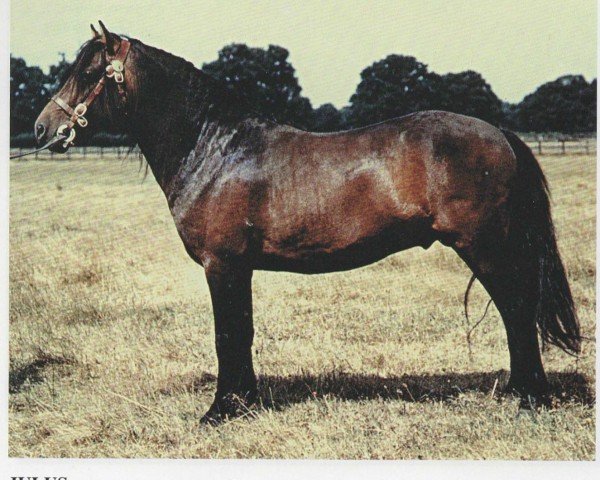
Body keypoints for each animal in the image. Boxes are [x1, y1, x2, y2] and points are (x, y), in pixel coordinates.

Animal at [34, 21, 580, 424]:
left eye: (89, 71)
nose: (42, 128)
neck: (215, 150)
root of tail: (499, 133)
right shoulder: (238, 269)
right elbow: (243, 331)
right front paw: (245, 403)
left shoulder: (221, 264)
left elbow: (227, 335)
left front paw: (220, 411)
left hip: (487, 246)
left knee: (516, 309)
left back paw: (529, 398)